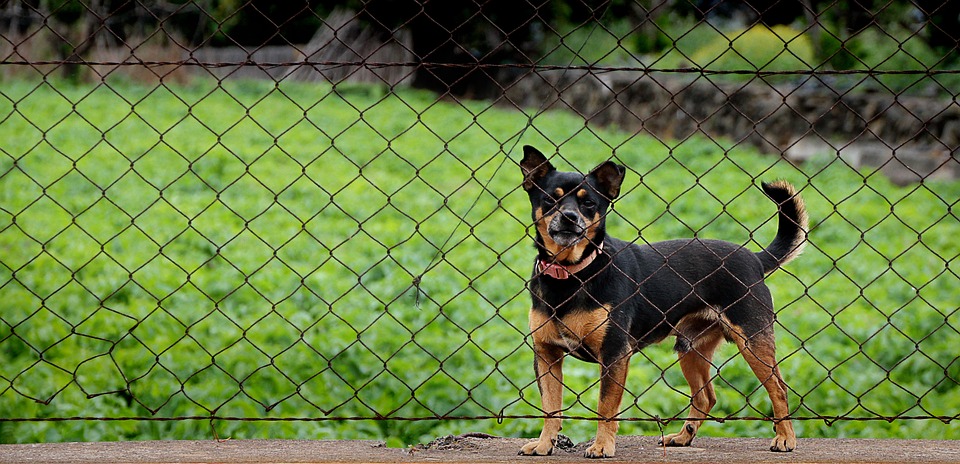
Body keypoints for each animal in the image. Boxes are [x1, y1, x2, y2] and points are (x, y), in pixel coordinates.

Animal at [516, 145, 804, 456]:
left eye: (589, 204)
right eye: (549, 199)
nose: (569, 217)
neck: (572, 273)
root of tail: (755, 258)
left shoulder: (614, 354)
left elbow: (605, 408)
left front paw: (602, 445)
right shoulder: (547, 355)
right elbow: (550, 408)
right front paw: (544, 444)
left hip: (752, 342)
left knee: (779, 389)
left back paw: (785, 438)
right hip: (691, 348)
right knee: (706, 397)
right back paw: (683, 437)